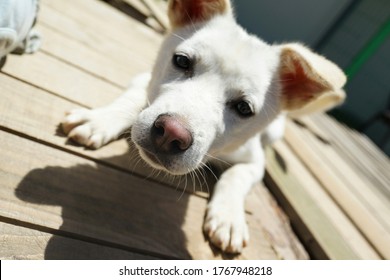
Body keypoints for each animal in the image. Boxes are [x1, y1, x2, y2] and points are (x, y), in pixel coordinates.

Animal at [61, 0, 344, 254]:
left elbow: (236, 176)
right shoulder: (143, 80)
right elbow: (131, 100)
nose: (170, 134)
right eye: (182, 61)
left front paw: (229, 217)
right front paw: (99, 119)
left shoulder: (254, 161)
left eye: (244, 108)